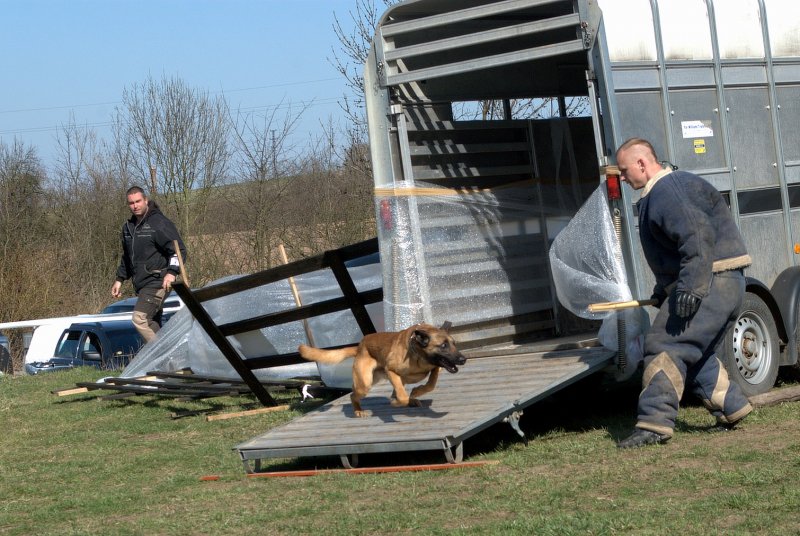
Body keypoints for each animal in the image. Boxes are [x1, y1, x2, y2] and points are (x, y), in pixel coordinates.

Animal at [298, 324, 462, 416]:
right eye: (443, 346)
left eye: (454, 344)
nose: (463, 359)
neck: (418, 355)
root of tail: (359, 347)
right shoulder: (391, 371)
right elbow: (402, 397)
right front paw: (398, 403)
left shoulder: (435, 367)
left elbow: (431, 383)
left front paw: (416, 392)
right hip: (365, 383)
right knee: (353, 395)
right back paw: (358, 410)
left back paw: (411, 400)